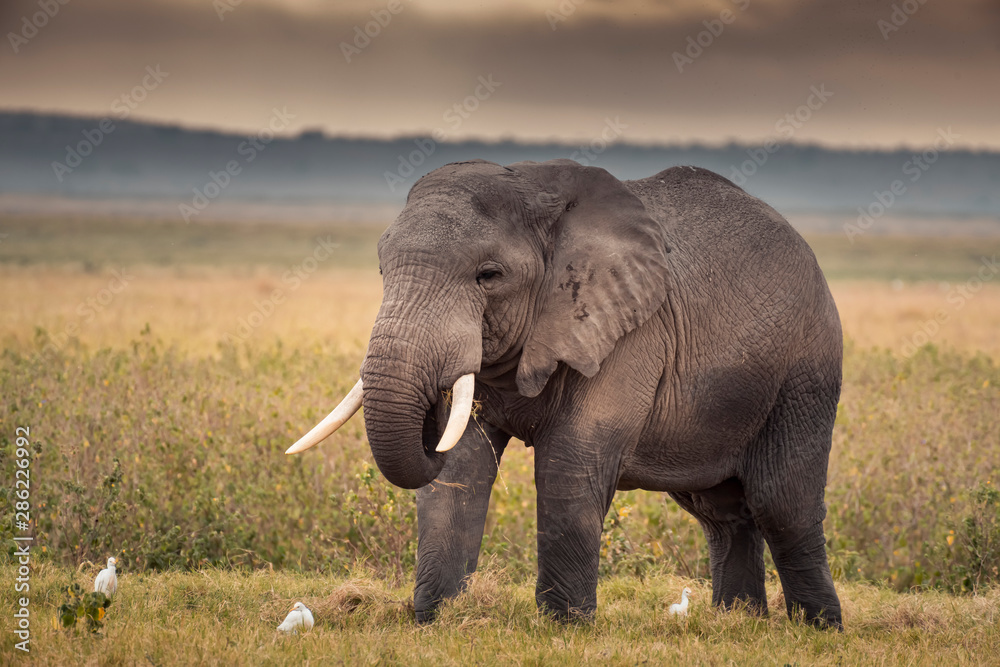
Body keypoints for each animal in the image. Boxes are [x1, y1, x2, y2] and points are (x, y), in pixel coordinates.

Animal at [287, 158, 843, 629]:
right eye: (382, 270)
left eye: (489, 276)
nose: (431, 410)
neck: (536, 192)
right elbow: (462, 466)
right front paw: (435, 621)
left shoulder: (626, 327)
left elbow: (570, 463)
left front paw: (564, 628)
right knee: (721, 514)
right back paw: (738, 624)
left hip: (805, 372)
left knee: (781, 503)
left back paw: (818, 630)